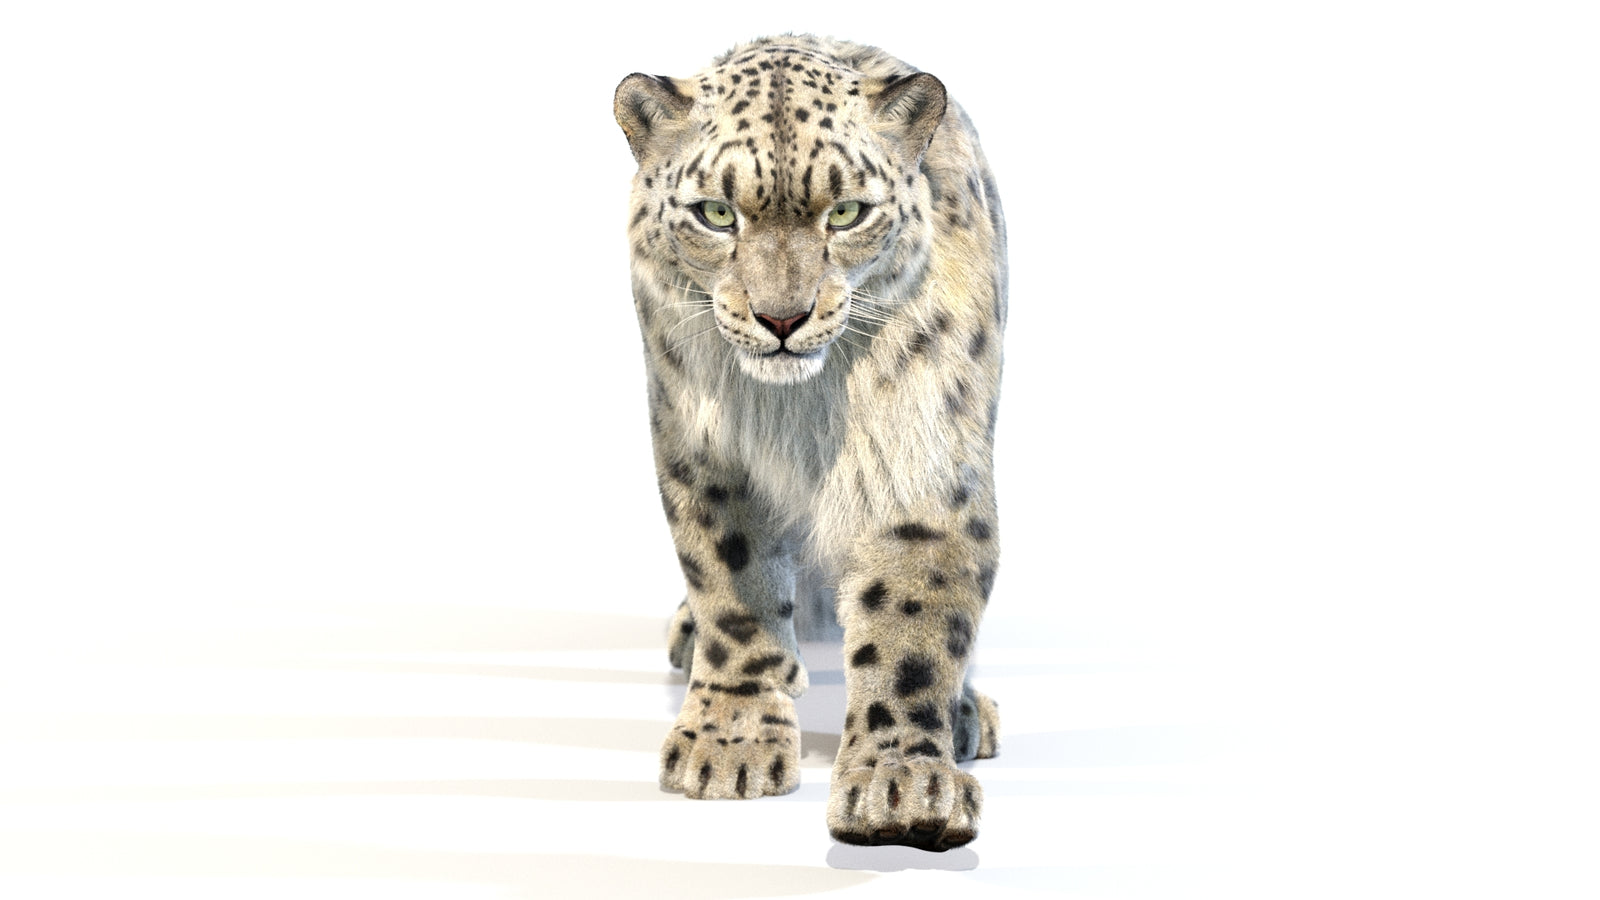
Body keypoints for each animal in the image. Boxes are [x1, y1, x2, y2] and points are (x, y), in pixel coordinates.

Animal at [614, 34, 1006, 851]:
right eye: (717, 213)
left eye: (847, 211)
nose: (782, 318)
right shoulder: (705, 452)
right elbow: (732, 586)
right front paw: (728, 740)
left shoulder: (922, 458)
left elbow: (912, 623)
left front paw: (902, 786)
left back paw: (963, 713)